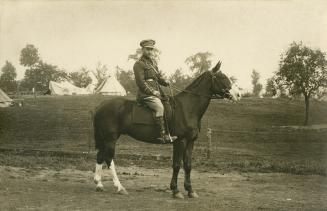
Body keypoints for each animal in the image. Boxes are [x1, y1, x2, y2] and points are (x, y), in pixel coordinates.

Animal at [92, 60, 241, 198]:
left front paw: (190, 190)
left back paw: (99, 184)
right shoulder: (180, 141)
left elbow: (188, 165)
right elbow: (176, 165)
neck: (187, 107)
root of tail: (101, 106)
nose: (238, 95)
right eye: (222, 77)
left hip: (106, 138)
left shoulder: (190, 141)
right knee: (108, 158)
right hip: (110, 138)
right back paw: (119, 187)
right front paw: (176, 191)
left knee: (100, 156)